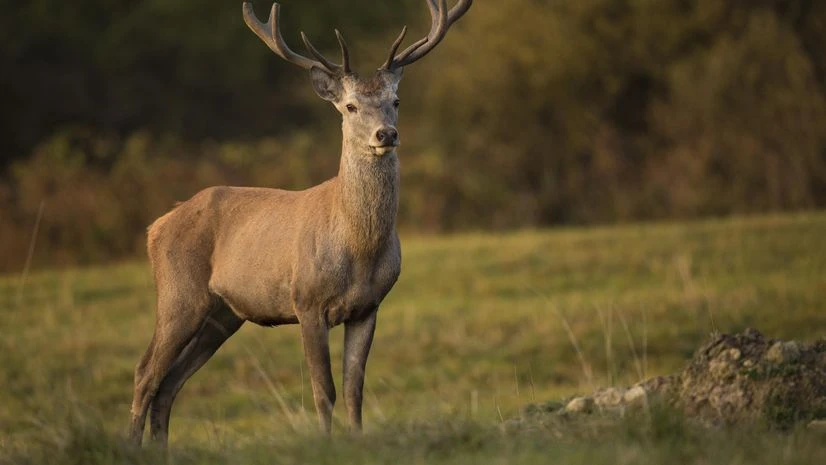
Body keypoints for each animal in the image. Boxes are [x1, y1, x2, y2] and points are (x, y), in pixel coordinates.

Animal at [128, 0, 472, 447]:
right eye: (350, 106)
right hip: (178, 295)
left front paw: (358, 441)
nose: (386, 134)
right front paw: (326, 443)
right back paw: (130, 446)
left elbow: (354, 387)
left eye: (396, 101)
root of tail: (156, 226)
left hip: (222, 314)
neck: (358, 248)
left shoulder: (369, 306)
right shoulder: (306, 301)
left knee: (169, 383)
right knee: (145, 373)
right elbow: (323, 389)